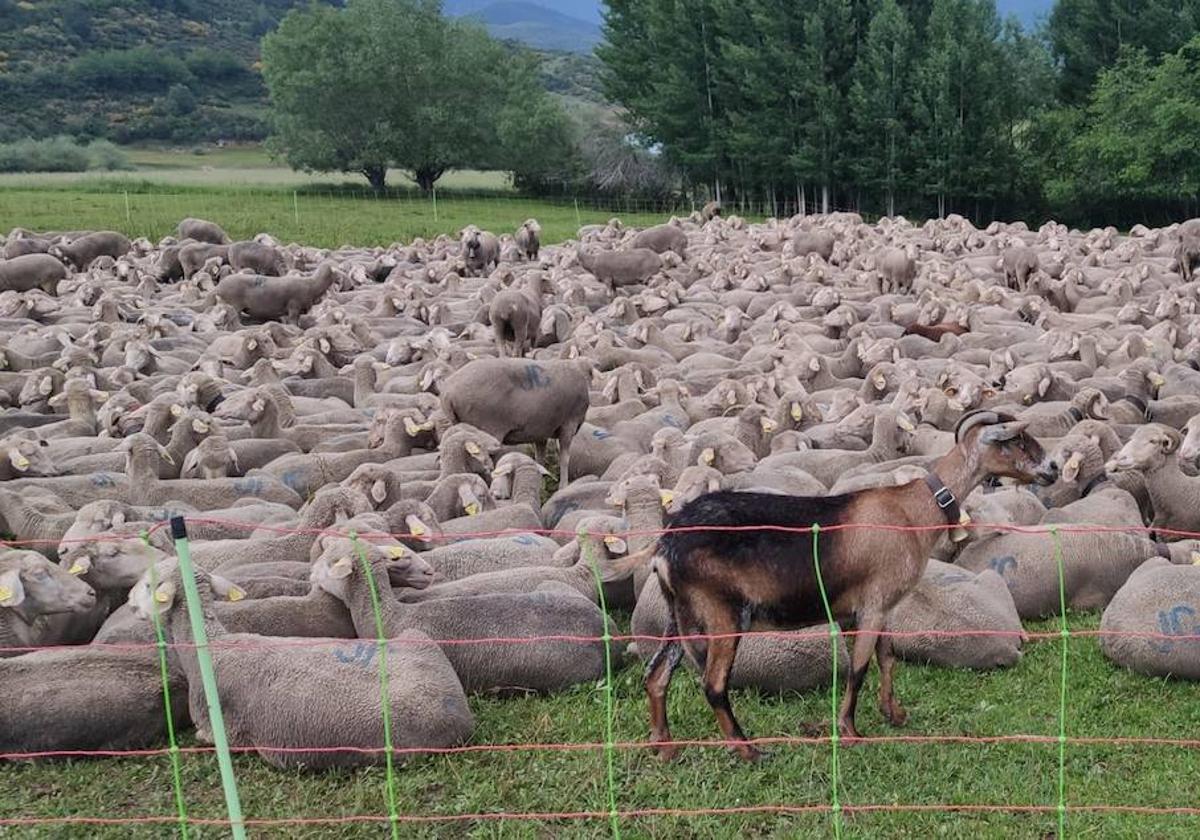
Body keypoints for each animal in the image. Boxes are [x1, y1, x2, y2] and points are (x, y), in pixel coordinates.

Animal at [614, 410, 1056, 763]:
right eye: (1016, 439)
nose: (1052, 468)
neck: (913, 509)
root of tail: (664, 546)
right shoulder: (872, 605)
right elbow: (859, 669)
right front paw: (850, 731)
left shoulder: (873, 606)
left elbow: (887, 659)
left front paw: (894, 714)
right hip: (721, 614)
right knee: (713, 685)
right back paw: (748, 750)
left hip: (680, 614)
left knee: (657, 676)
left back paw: (664, 746)